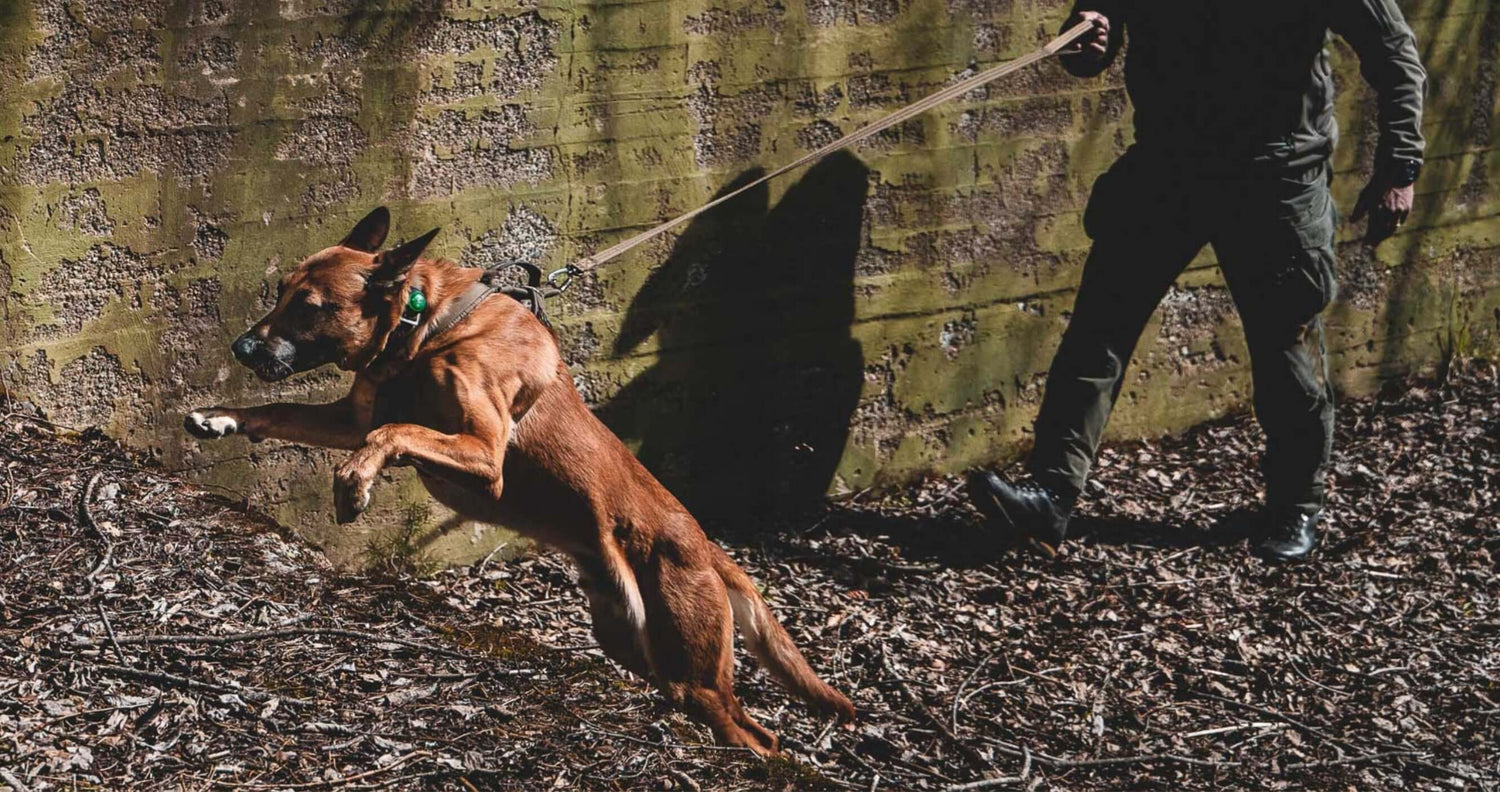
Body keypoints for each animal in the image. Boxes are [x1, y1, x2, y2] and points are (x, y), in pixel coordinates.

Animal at [187, 207, 858, 753]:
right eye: (280, 292)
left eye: (309, 307)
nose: (241, 347)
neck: (425, 325)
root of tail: (708, 548)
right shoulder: (353, 420)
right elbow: (284, 412)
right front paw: (222, 416)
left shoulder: (485, 458)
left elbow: (395, 432)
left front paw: (353, 484)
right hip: (635, 643)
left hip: (690, 666)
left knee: (757, 735)